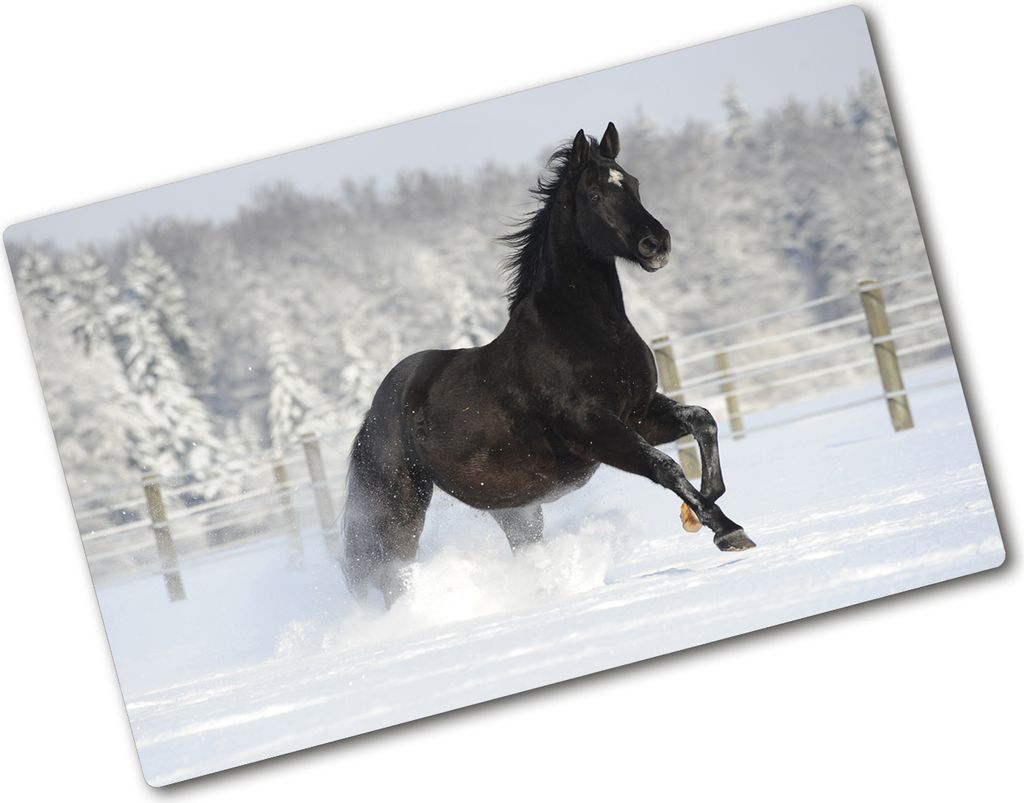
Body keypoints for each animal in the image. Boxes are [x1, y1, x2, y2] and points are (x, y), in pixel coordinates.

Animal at [341, 122, 755, 603]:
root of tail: (375, 409)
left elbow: (702, 419)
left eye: (634, 184)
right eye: (594, 194)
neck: (583, 331)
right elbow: (663, 465)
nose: (656, 243)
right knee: (390, 572)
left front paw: (702, 508)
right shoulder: (593, 429)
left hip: (513, 508)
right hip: (399, 506)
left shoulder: (639, 411)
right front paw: (727, 530)